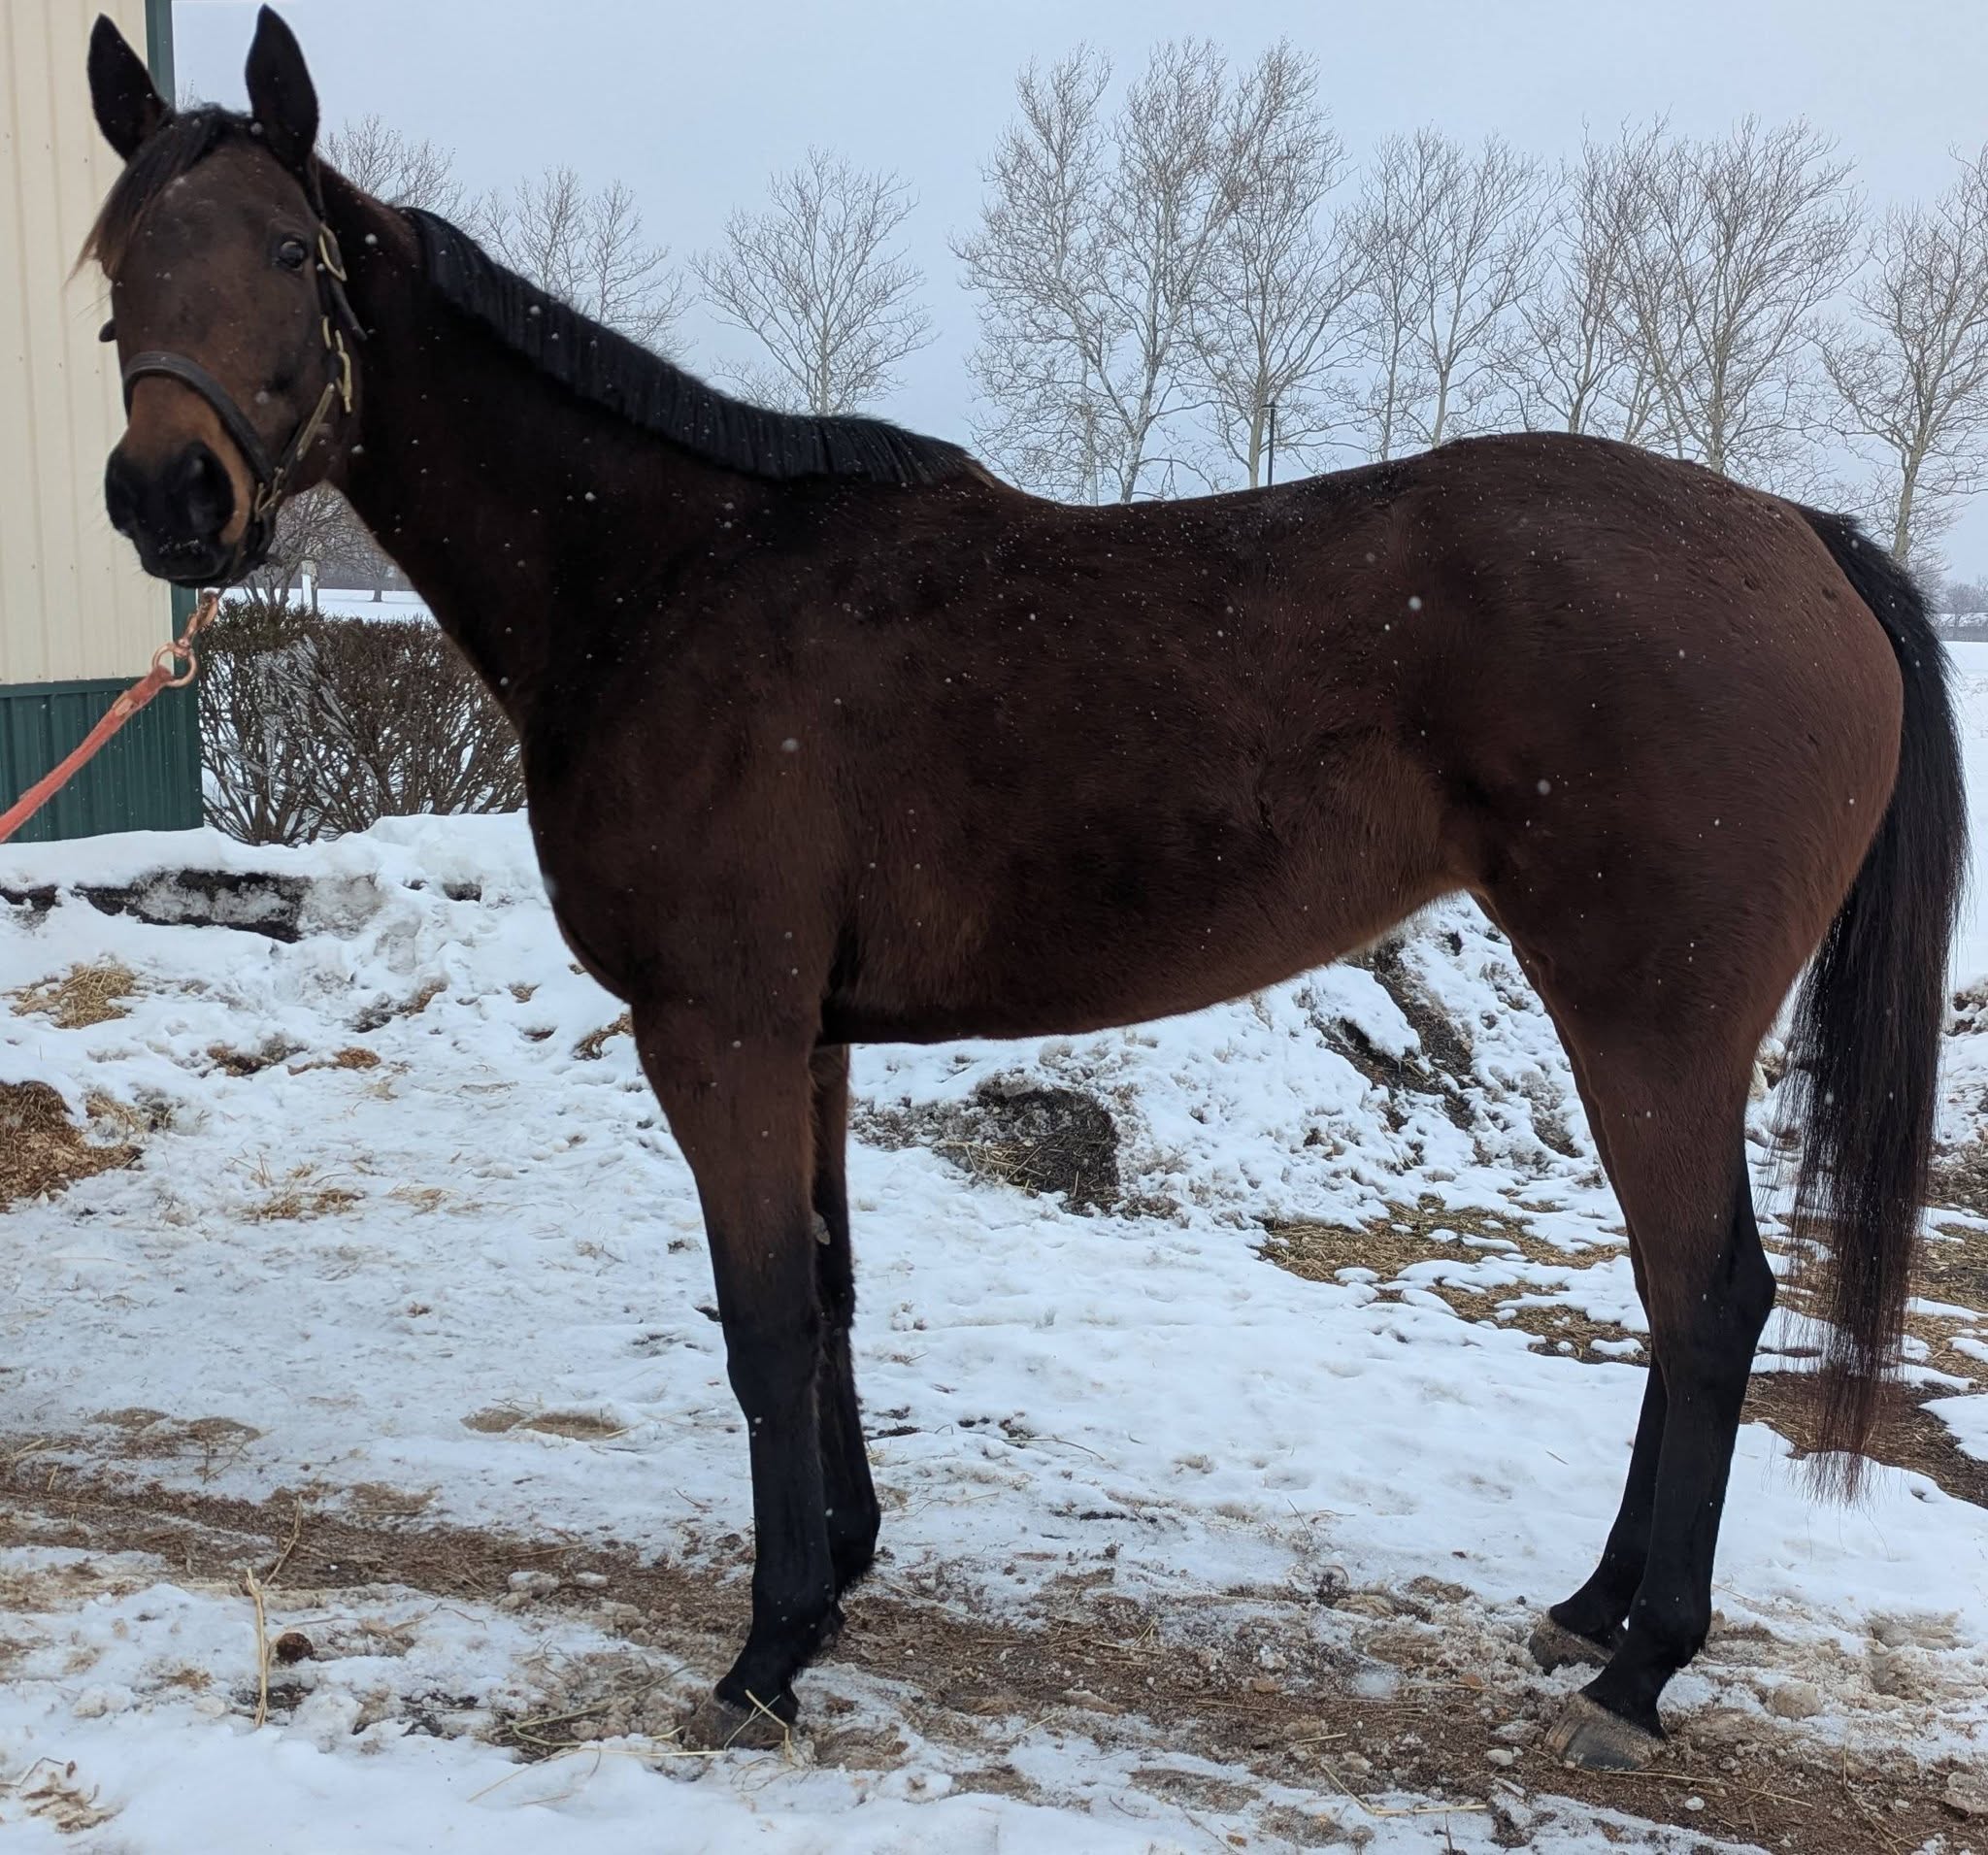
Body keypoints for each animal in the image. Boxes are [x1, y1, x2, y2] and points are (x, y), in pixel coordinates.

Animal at [79, 9, 1963, 1769]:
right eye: (114, 265)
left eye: (286, 253)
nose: (167, 496)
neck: (668, 579)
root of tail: (1798, 536)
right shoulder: (809, 1035)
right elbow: (828, 1289)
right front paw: (838, 1571)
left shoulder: (717, 1027)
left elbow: (763, 1317)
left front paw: (765, 1654)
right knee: (1677, 1298)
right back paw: (1593, 1612)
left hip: (1651, 1018)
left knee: (1706, 1296)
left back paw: (1639, 1670)